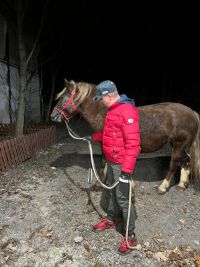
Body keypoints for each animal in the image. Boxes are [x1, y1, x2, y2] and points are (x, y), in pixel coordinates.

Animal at [50, 79, 200, 195]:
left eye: (63, 97)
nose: (53, 116)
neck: (105, 113)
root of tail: (192, 112)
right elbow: (105, 162)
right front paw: (101, 184)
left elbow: (106, 163)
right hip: (180, 145)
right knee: (186, 160)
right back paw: (182, 185)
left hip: (179, 144)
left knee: (174, 163)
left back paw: (162, 187)